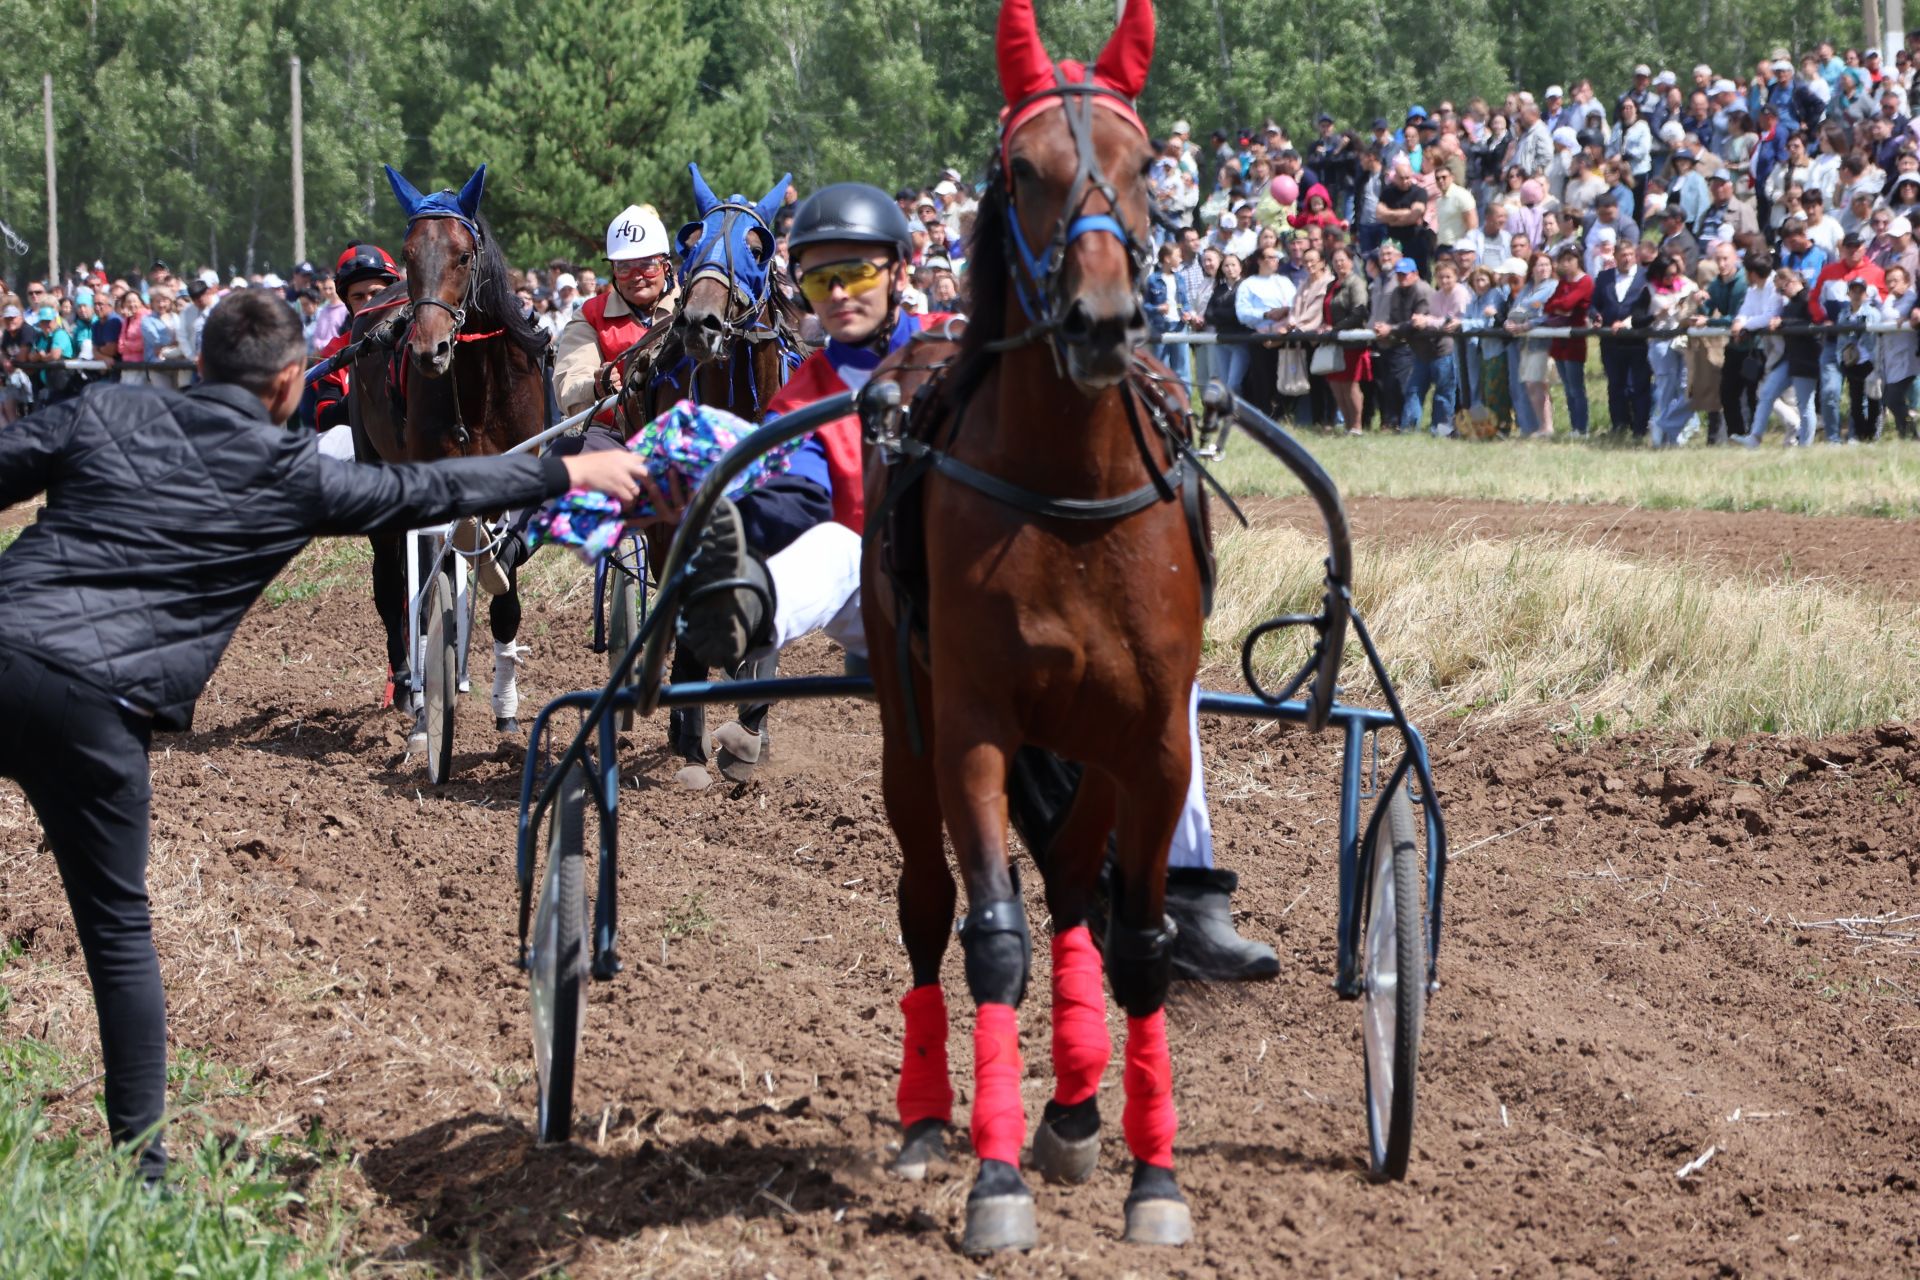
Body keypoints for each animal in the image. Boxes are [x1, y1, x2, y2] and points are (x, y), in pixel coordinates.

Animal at [610, 164, 798, 775]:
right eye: (691, 242)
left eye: (759, 247)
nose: (699, 323)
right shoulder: (676, 520)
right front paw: (689, 734)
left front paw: (750, 729)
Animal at [867, 0, 1205, 1258]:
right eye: (1024, 168)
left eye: (1145, 163)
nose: (1101, 320)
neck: (1067, 495)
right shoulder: (969, 726)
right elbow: (992, 933)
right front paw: (996, 1175)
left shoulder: (1154, 739)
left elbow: (1139, 940)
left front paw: (1151, 1175)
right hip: (903, 724)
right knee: (928, 896)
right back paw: (930, 1119)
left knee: (1070, 881)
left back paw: (1075, 1103)